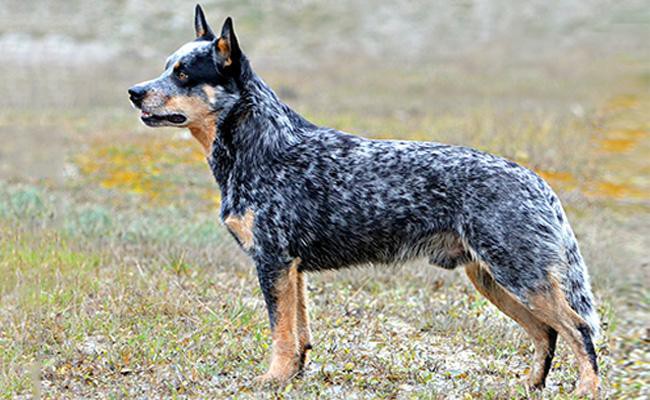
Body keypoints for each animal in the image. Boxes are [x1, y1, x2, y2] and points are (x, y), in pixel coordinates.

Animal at [129, 5, 600, 396]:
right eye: (166, 67)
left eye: (184, 74)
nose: (134, 91)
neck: (264, 147)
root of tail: (537, 181)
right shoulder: (293, 269)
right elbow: (298, 333)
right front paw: (293, 377)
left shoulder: (273, 260)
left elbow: (281, 333)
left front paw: (272, 380)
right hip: (493, 279)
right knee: (546, 334)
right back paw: (529, 386)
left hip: (521, 277)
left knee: (578, 329)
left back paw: (586, 388)